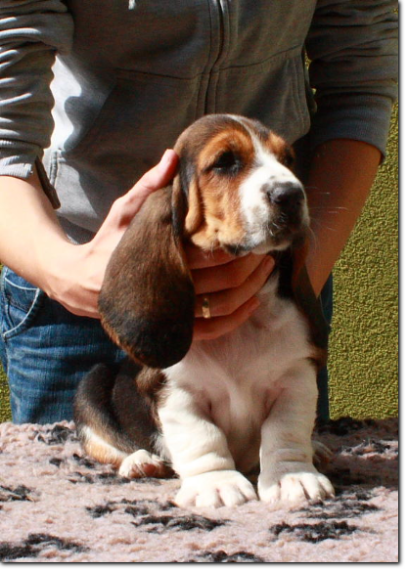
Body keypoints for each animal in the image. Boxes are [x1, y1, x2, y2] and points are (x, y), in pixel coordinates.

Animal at [75, 115, 336, 510]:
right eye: (225, 161)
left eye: (288, 160)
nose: (291, 195)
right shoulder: (177, 392)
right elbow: (202, 437)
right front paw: (216, 485)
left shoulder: (295, 379)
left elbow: (285, 431)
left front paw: (294, 478)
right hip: (91, 383)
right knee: (104, 441)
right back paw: (140, 461)